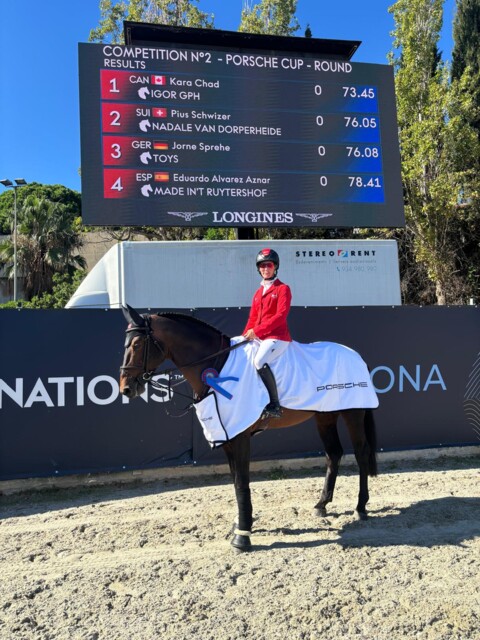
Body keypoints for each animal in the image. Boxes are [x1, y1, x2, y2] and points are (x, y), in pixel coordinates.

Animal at [119, 304, 378, 552]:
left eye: (138, 344)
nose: (126, 389)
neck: (217, 365)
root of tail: (356, 355)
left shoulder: (241, 436)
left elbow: (241, 483)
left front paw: (242, 537)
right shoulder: (227, 434)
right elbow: (235, 480)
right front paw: (240, 523)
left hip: (353, 413)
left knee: (361, 453)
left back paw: (360, 507)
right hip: (325, 416)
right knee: (333, 454)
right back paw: (321, 505)